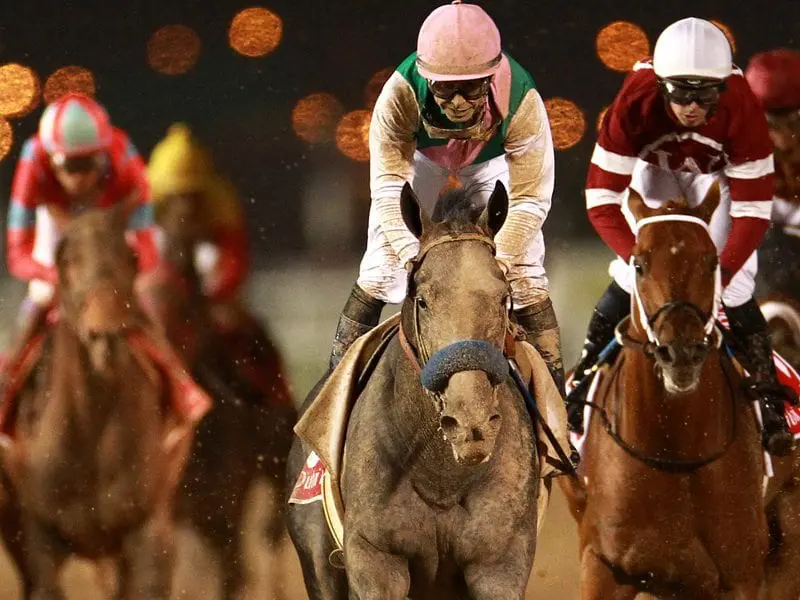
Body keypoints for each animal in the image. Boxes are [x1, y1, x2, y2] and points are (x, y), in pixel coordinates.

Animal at [284, 183, 540, 600]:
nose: (471, 423)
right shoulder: (375, 559)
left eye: (503, 298)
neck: (440, 476)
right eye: (422, 300)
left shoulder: (500, 564)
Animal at [560, 184, 764, 600]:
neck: (675, 447)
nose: (680, 352)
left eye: (712, 262)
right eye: (639, 264)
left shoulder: (742, 576)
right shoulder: (604, 566)